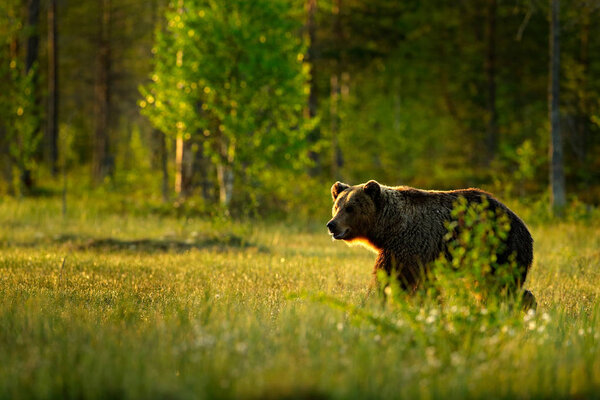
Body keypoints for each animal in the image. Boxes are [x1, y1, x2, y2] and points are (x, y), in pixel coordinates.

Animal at [328, 180, 536, 308]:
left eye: (350, 208)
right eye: (337, 206)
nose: (331, 225)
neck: (388, 227)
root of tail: (523, 225)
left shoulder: (409, 243)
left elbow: (391, 276)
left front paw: (375, 299)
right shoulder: (421, 254)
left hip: (498, 247)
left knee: (498, 284)